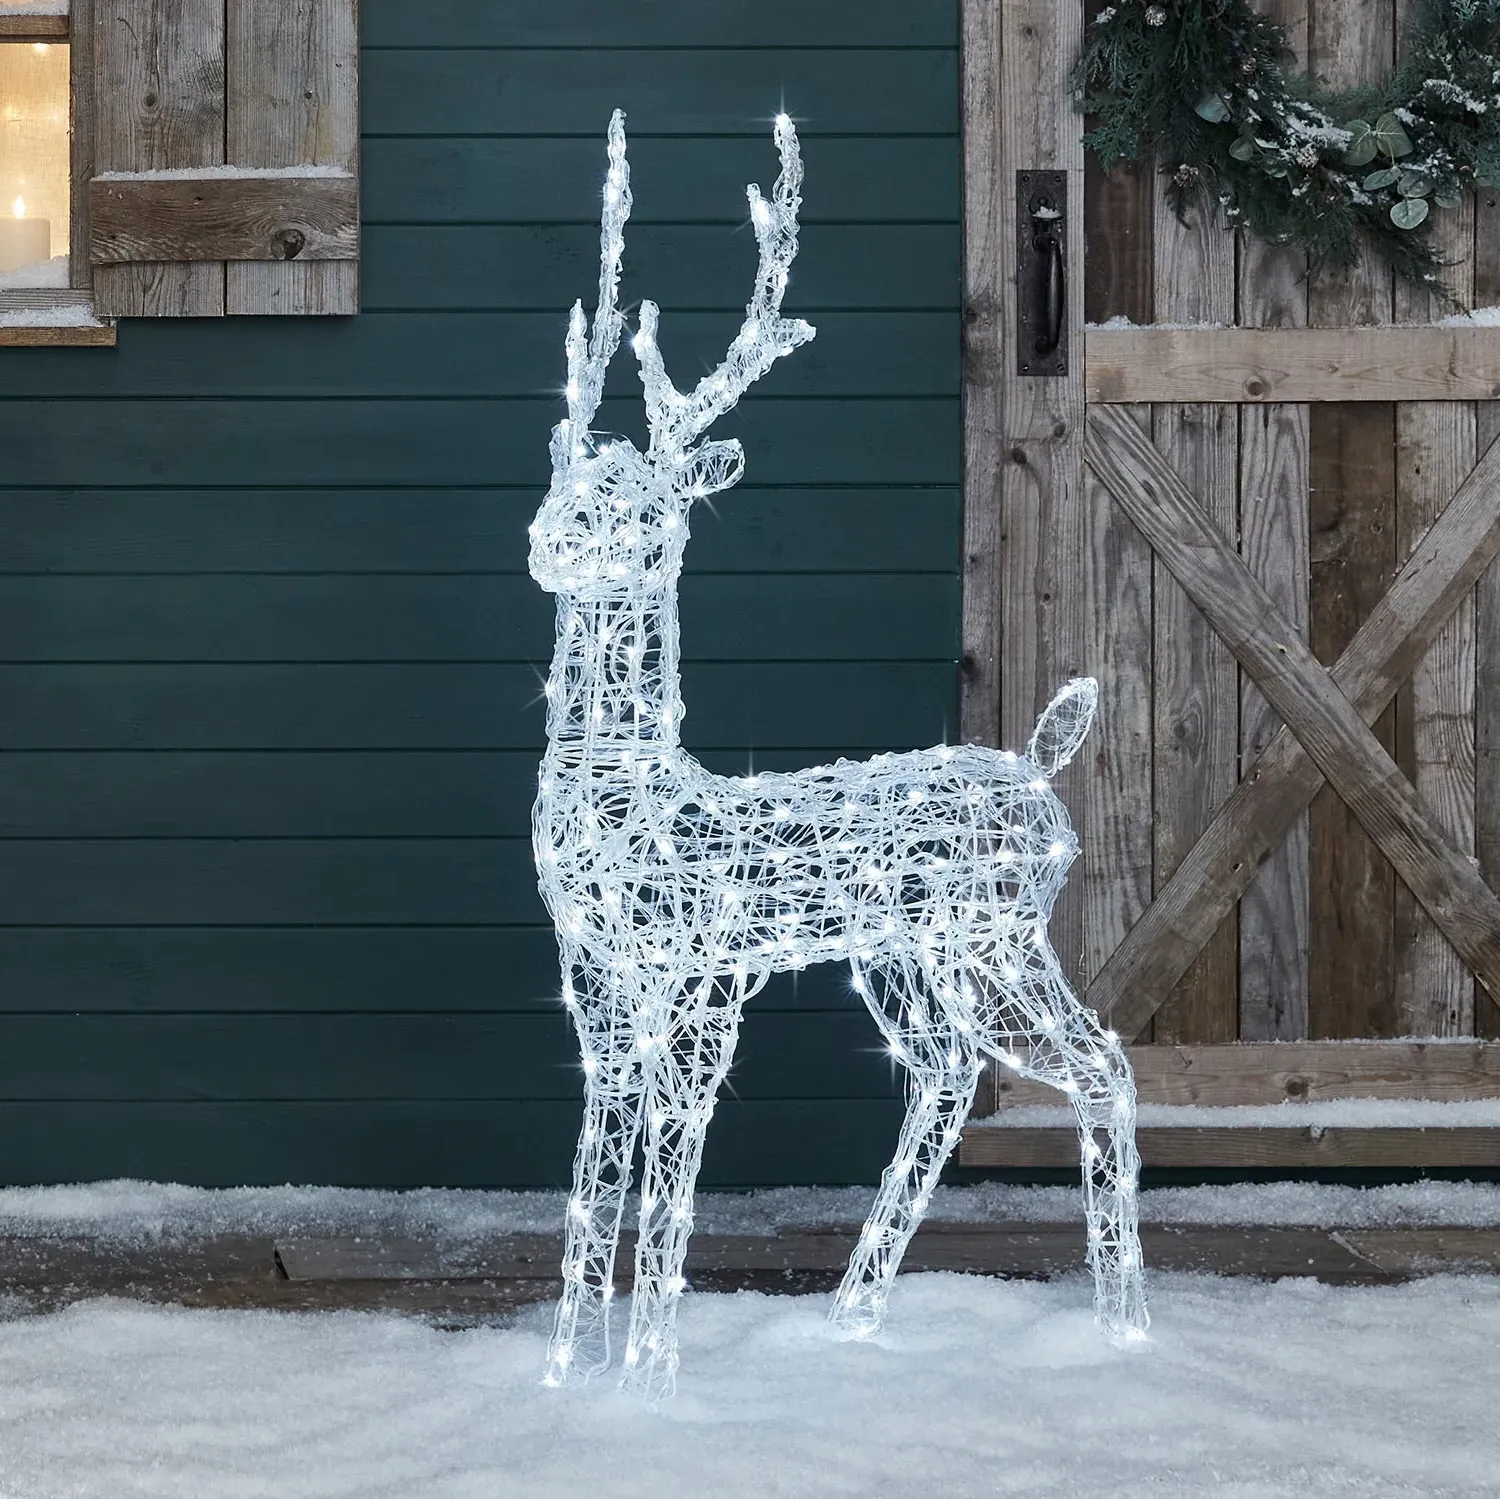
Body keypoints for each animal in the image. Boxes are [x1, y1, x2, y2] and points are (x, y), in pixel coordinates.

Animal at [528, 110, 1148, 1405]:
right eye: (564, 477)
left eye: (650, 506)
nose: (552, 540)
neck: (637, 807)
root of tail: (1041, 767)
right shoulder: (597, 987)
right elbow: (592, 1178)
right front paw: (563, 1380)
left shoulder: (705, 980)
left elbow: (670, 1179)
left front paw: (648, 1385)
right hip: (903, 958)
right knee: (949, 1072)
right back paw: (854, 1314)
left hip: (994, 934)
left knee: (1101, 1062)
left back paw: (1124, 1335)